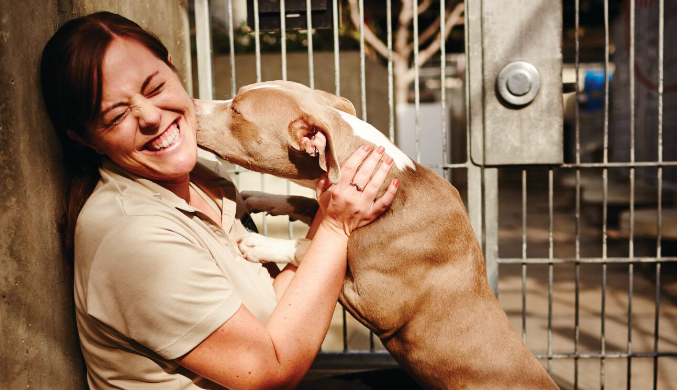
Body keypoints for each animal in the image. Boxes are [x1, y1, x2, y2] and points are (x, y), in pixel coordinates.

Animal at [193, 80, 556, 388]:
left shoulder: (371, 301)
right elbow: (307, 204)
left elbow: (307, 246)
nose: (191, 102)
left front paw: (258, 243)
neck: (391, 180)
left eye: (236, 110)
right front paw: (262, 198)